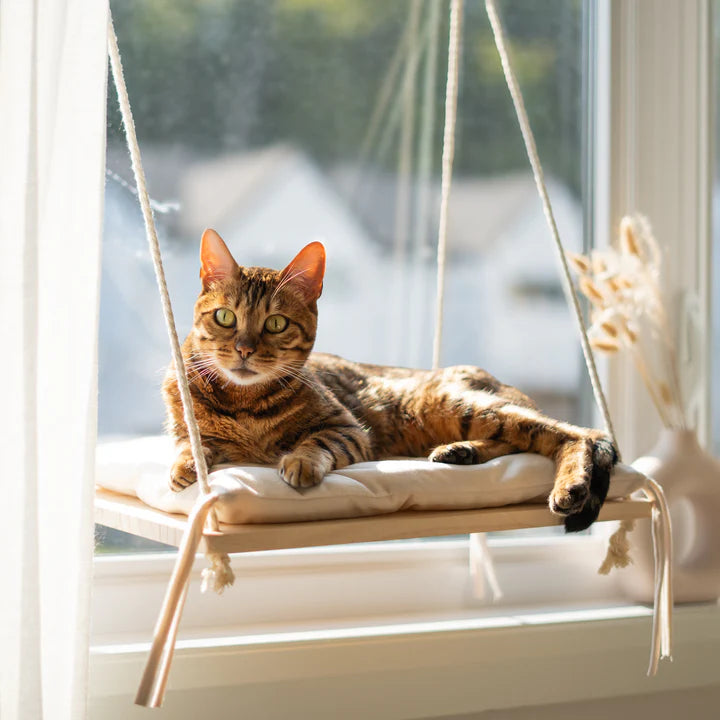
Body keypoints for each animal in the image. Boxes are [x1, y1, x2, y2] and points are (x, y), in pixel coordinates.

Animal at [163, 228, 620, 532]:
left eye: (276, 323)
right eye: (225, 317)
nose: (243, 349)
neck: (244, 403)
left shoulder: (347, 428)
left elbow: (315, 443)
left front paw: (299, 461)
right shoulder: (188, 424)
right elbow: (192, 440)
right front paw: (188, 462)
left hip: (454, 404)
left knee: (572, 434)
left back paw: (569, 485)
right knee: (525, 438)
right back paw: (460, 452)